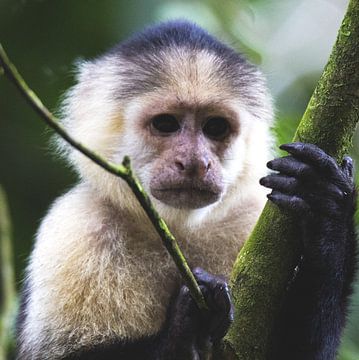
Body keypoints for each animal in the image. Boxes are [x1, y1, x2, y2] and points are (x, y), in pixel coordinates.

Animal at [16, 20, 358, 360]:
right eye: (166, 124)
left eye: (215, 127)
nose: (194, 163)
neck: (174, 226)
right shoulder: (77, 228)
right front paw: (185, 323)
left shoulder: (249, 217)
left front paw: (325, 207)